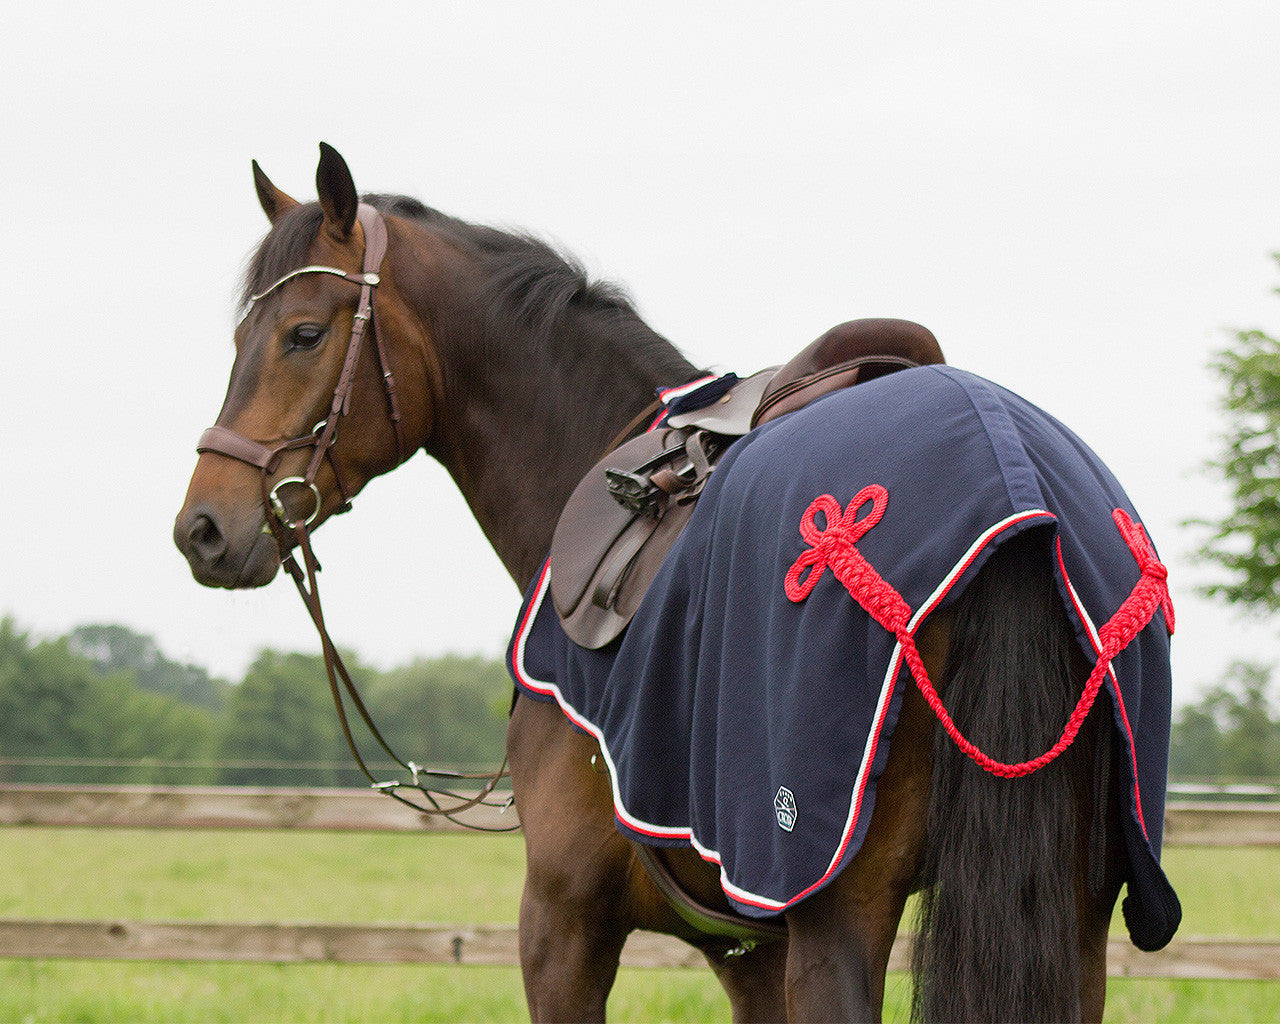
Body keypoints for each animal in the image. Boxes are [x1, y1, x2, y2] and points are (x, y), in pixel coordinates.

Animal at [174, 144, 1178, 1022]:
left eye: (304, 334)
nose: (203, 528)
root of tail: (1011, 487)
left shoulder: (564, 924)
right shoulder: (749, 952)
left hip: (843, 911)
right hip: (1070, 912)